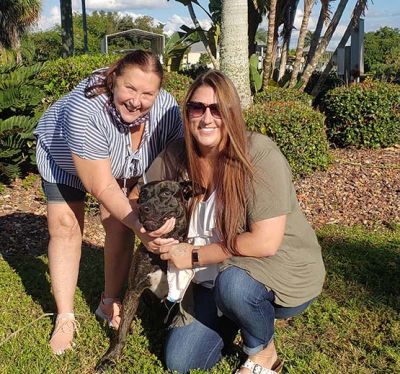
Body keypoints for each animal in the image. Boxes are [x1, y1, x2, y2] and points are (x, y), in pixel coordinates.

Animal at [96, 180, 203, 370]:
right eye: (143, 195)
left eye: (166, 193)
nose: (143, 208)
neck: (161, 253)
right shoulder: (134, 291)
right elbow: (121, 331)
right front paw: (111, 357)